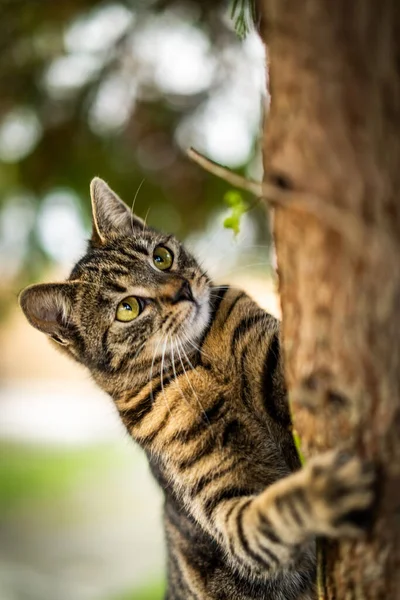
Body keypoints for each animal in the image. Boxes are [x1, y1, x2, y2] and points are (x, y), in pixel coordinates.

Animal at [18, 178, 376, 600]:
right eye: (128, 308)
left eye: (161, 257)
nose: (182, 289)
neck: (200, 361)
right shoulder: (226, 511)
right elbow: (265, 517)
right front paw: (325, 491)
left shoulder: (274, 358)